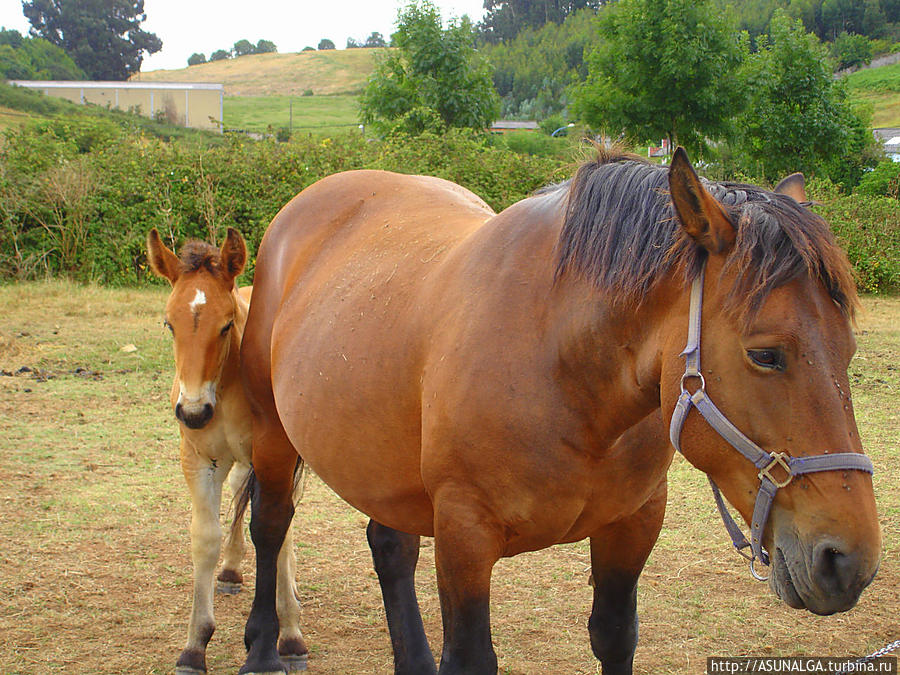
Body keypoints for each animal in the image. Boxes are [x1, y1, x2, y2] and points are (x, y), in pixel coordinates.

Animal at [144, 230, 306, 672]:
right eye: (169, 323)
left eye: (226, 325)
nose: (193, 411)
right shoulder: (199, 460)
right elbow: (205, 538)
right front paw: (194, 645)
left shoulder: (277, 456)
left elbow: (278, 532)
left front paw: (289, 634)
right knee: (239, 491)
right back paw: (231, 569)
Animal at [237, 149, 880, 675]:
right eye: (765, 354)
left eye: (848, 349)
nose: (848, 562)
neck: (562, 368)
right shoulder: (465, 535)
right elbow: (470, 658)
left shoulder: (634, 523)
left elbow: (615, 636)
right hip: (273, 434)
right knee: (269, 526)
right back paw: (264, 650)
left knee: (390, 548)